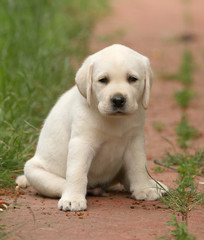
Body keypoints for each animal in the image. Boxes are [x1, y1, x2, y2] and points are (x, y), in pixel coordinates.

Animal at [16, 44, 167, 211]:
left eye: (132, 79)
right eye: (103, 80)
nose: (118, 100)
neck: (113, 120)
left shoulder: (135, 141)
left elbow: (139, 166)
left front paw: (144, 189)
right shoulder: (81, 143)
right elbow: (77, 173)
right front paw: (73, 199)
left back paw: (154, 185)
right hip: (34, 170)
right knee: (64, 184)